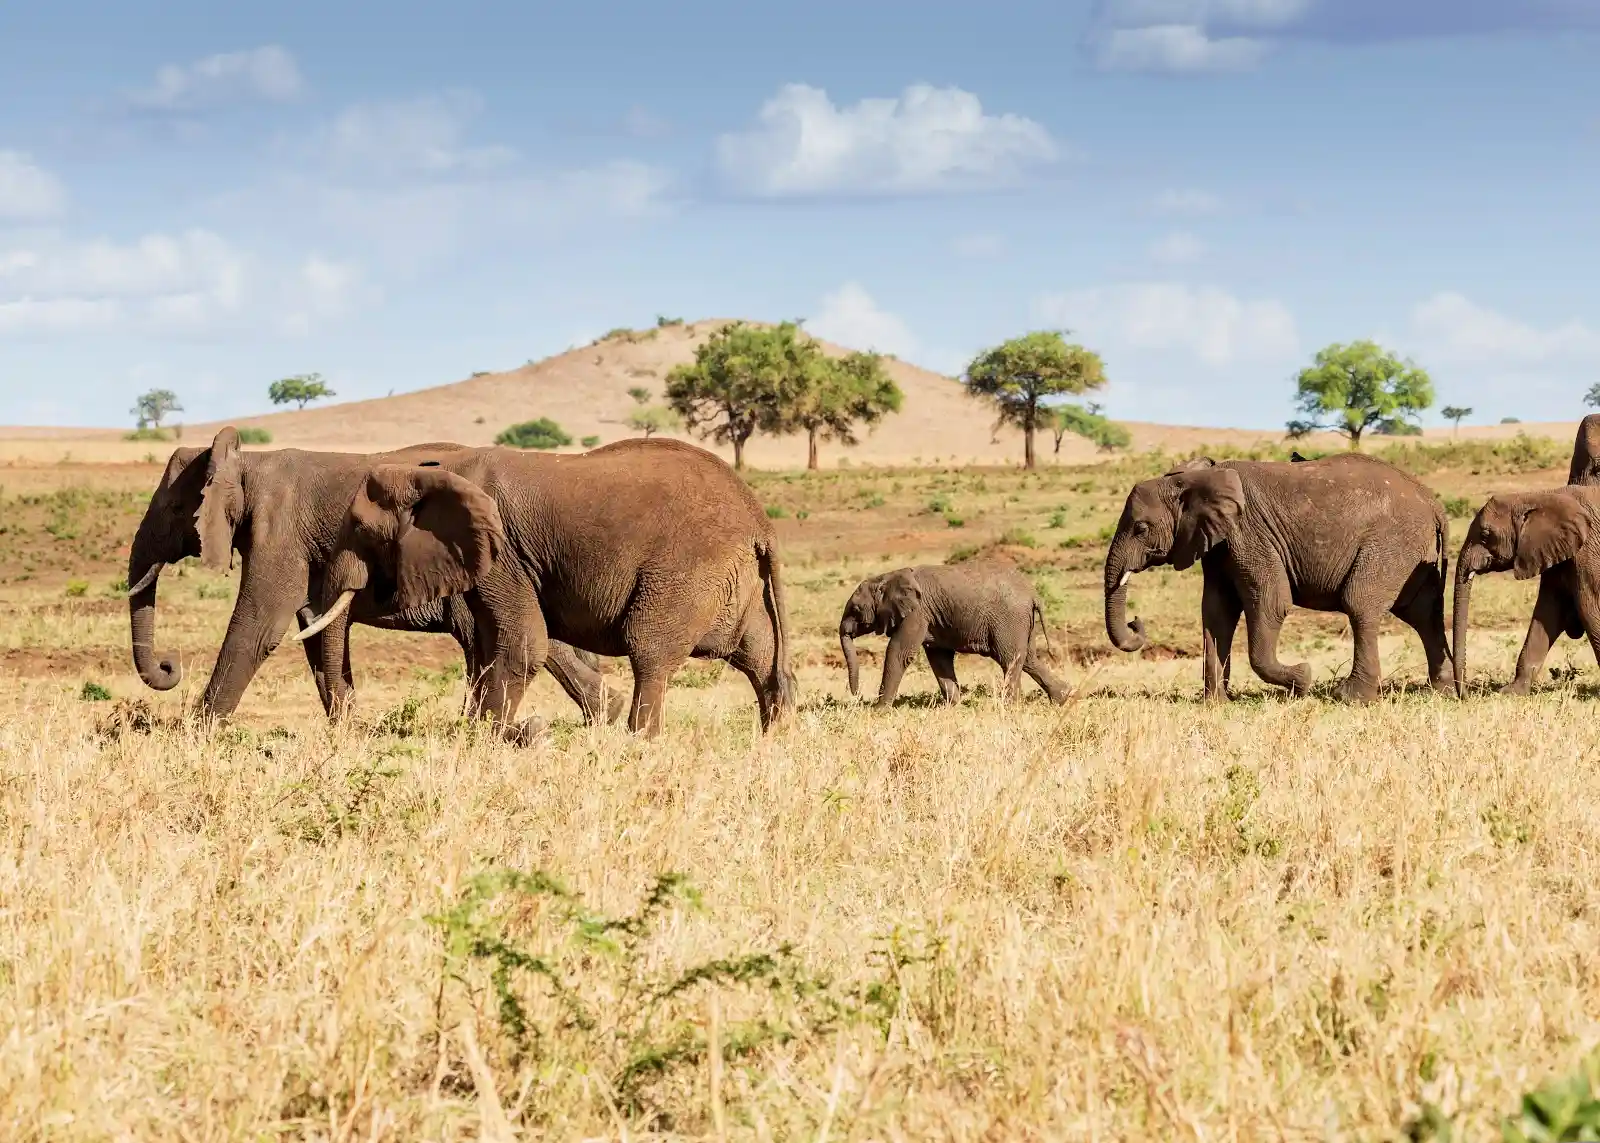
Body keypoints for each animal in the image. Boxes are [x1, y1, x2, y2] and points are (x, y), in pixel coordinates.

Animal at [128, 427, 624, 725]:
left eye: (176, 508)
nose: (169, 667)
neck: (248, 461)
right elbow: (312, 627)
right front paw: (347, 729)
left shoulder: (278, 529)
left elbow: (261, 624)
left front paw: (196, 734)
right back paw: (607, 716)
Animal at [294, 436, 796, 739]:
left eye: (361, 530)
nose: (352, 729)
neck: (436, 471)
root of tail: (760, 520)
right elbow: (486, 644)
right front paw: (489, 732)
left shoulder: (504, 553)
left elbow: (521, 645)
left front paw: (491, 738)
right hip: (730, 577)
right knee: (757, 652)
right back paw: (776, 735)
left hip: (686, 570)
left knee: (650, 652)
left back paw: (639, 741)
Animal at [838, 563, 1071, 707]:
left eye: (856, 609)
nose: (857, 696)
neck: (887, 577)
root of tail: (1033, 594)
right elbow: (939, 657)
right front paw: (953, 706)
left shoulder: (917, 613)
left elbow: (899, 653)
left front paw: (878, 710)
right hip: (1021, 623)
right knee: (1029, 659)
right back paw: (1064, 697)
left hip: (1010, 620)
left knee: (1010, 660)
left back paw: (1009, 706)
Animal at [1104, 453, 1454, 702]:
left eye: (1140, 528)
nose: (1135, 621)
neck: (1198, 478)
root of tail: (1433, 502)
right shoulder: (1217, 544)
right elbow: (1217, 612)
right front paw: (1216, 704)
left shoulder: (1250, 534)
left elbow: (1271, 602)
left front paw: (1302, 680)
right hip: (1412, 552)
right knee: (1423, 613)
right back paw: (1443, 690)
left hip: (1391, 543)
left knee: (1360, 604)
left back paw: (1349, 697)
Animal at [1452, 487, 1600, 695]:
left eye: (1485, 534)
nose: (1464, 695)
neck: (1541, 496)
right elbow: (1548, 612)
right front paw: (1511, 692)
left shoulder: (1588, 554)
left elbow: (1590, 609)